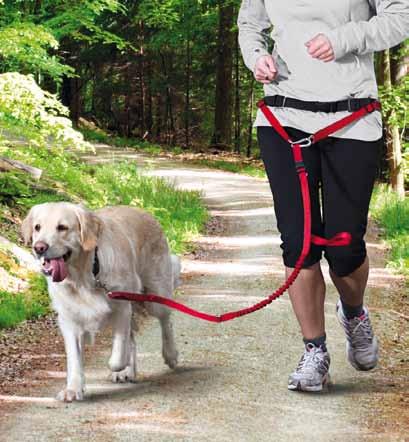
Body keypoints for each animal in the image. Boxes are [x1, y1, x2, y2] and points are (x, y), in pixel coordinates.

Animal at [21, 202, 178, 402]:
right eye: (37, 227)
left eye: (62, 227)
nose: (39, 247)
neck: (84, 276)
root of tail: (146, 212)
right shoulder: (69, 318)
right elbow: (75, 359)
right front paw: (73, 388)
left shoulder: (122, 306)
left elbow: (117, 356)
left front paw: (119, 365)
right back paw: (127, 371)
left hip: (155, 294)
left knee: (166, 322)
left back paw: (171, 355)